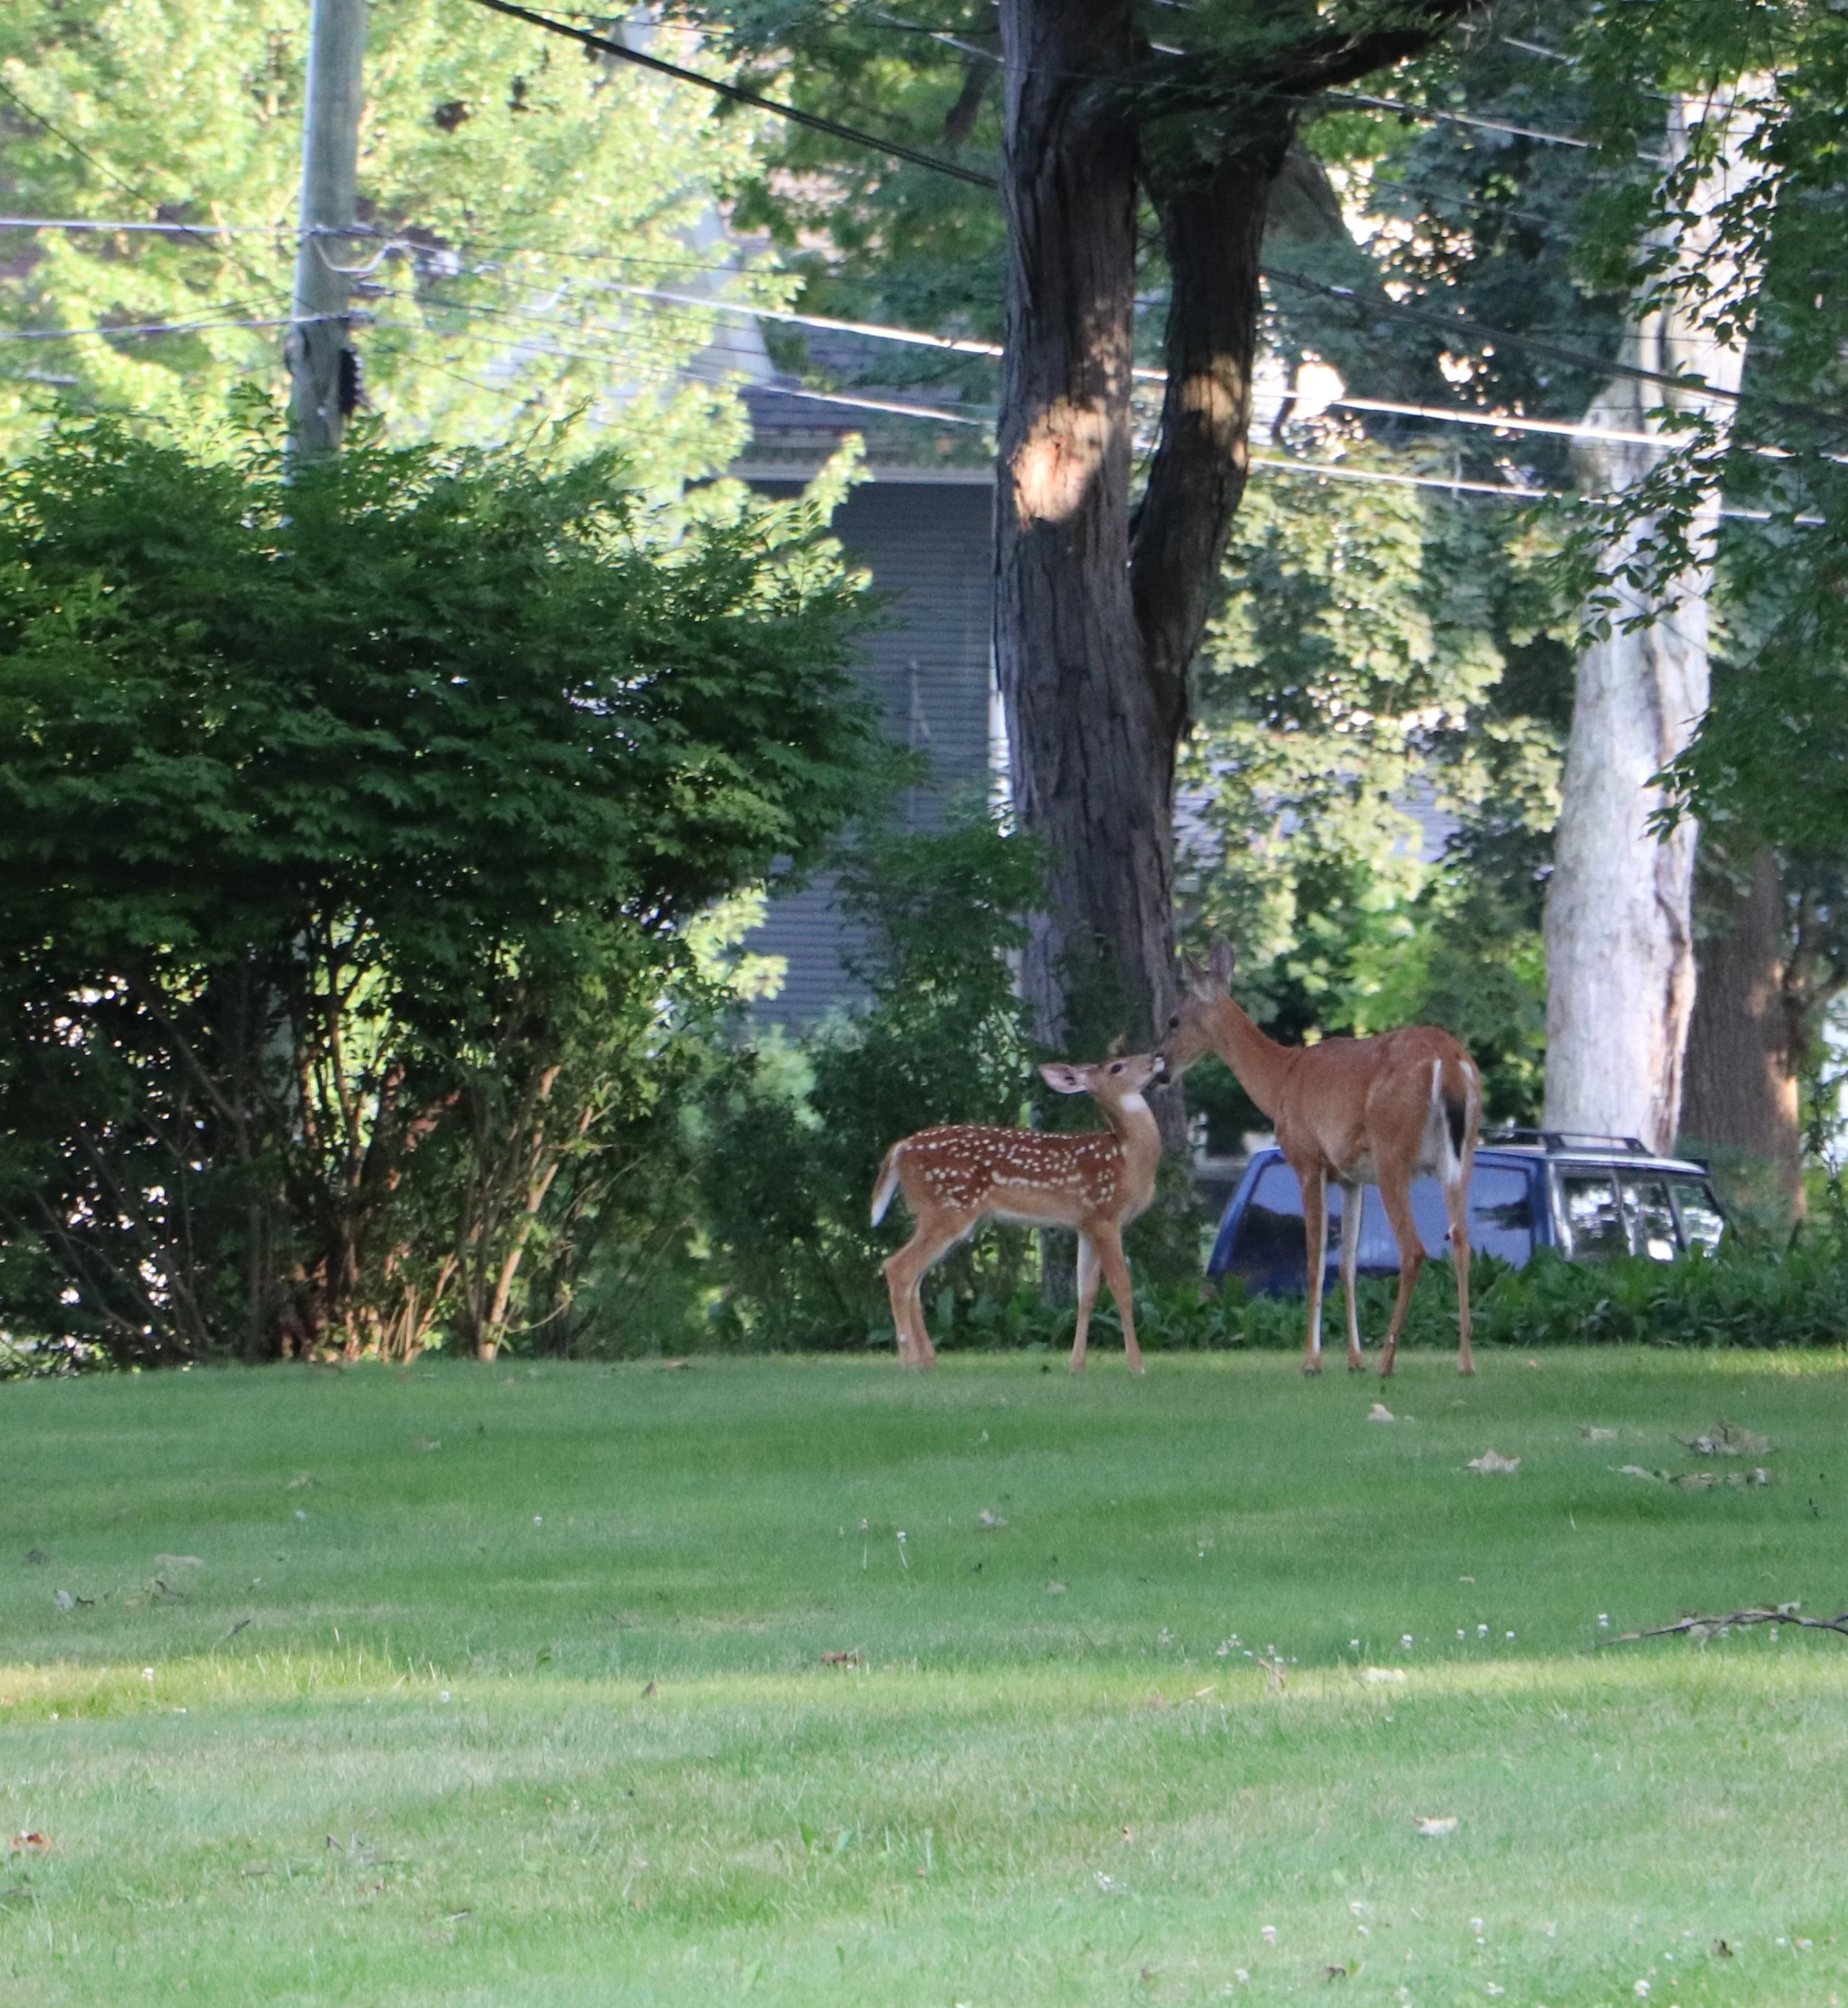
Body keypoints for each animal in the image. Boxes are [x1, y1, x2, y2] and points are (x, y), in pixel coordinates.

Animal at [870, 1053, 1167, 1375]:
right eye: (1117, 1066)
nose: (1156, 1056)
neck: (1129, 1160)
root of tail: (901, 1148)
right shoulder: (1106, 1215)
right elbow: (1122, 1288)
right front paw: (1137, 1366)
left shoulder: (1086, 1224)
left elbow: (1085, 1294)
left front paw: (1076, 1365)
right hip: (947, 1209)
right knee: (898, 1267)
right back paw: (910, 1360)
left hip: (937, 1214)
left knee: (915, 1277)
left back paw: (927, 1360)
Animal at [1157, 943, 1480, 1378]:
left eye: (1174, 1020)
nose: (1159, 1066)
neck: (1281, 1079)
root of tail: (1448, 1060)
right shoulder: (1350, 1177)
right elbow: (1346, 1266)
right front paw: (1353, 1359)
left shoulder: (1307, 1160)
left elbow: (1314, 1261)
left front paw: (1312, 1360)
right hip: (1461, 1155)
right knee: (1461, 1240)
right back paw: (1465, 1361)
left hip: (1391, 1151)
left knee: (1414, 1249)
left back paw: (1387, 1361)